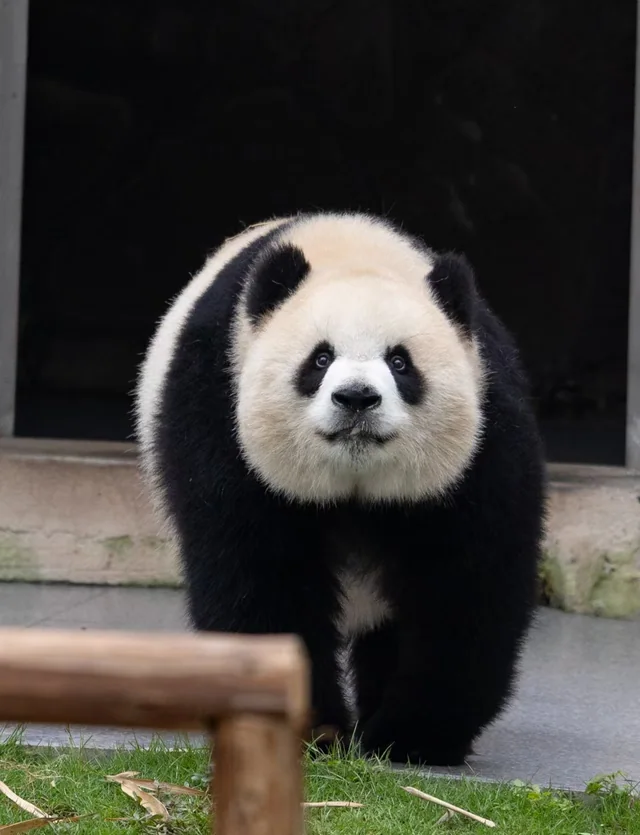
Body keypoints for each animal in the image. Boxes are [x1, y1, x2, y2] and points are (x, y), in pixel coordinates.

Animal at [135, 211, 546, 766]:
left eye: (400, 362)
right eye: (320, 358)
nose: (356, 398)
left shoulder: (487, 433)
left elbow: (466, 582)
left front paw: (415, 736)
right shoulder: (218, 409)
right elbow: (261, 572)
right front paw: (313, 728)